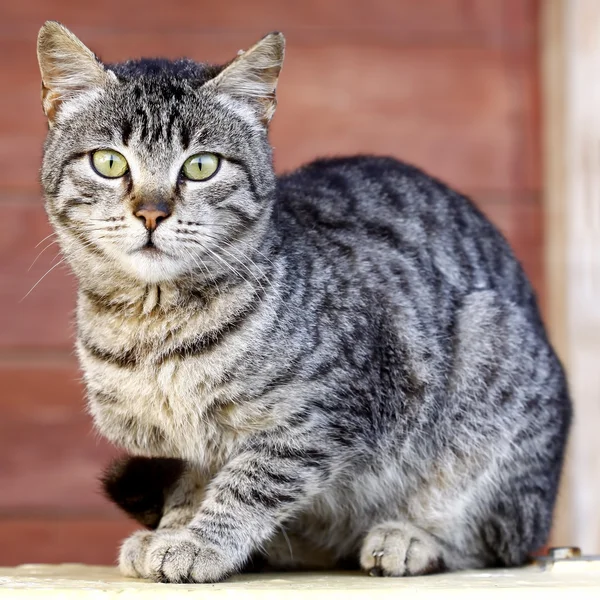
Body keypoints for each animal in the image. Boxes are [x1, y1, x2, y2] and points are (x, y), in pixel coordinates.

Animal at [37, 21, 572, 584]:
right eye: (109, 162)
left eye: (201, 166)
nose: (152, 212)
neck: (154, 325)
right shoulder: (176, 448)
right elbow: (189, 485)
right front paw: (173, 529)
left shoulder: (324, 416)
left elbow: (251, 483)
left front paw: (202, 543)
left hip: (492, 363)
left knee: (495, 540)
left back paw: (410, 539)